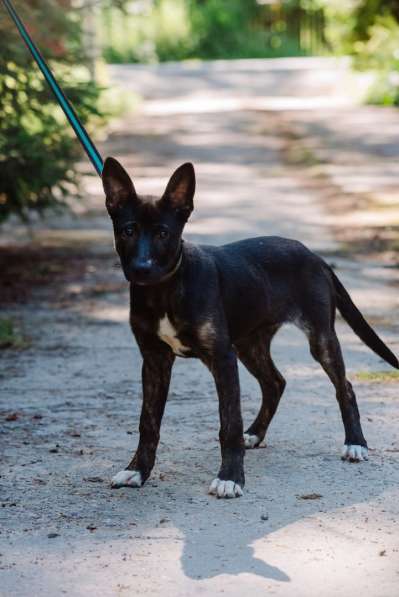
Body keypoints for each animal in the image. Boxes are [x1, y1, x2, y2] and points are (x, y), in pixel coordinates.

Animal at [103, 156, 399, 496]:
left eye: (163, 233)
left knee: (344, 387)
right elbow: (148, 422)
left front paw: (230, 477)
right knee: (275, 383)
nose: (141, 268)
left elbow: (229, 423)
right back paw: (255, 433)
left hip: (320, 337)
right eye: (128, 230)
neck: (164, 289)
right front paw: (137, 470)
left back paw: (355, 443)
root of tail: (314, 255)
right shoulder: (154, 360)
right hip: (249, 343)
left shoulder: (222, 357)